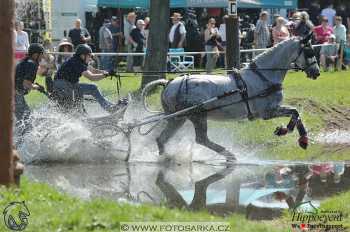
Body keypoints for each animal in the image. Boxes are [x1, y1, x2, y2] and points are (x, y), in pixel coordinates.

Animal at [142, 34, 320, 161]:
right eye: (310, 51)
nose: (317, 72)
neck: (263, 76)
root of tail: (169, 83)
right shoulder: (267, 112)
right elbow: (294, 112)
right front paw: (290, 133)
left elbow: (295, 113)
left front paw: (299, 137)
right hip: (196, 116)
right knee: (201, 139)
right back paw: (229, 155)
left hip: (178, 118)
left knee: (162, 138)